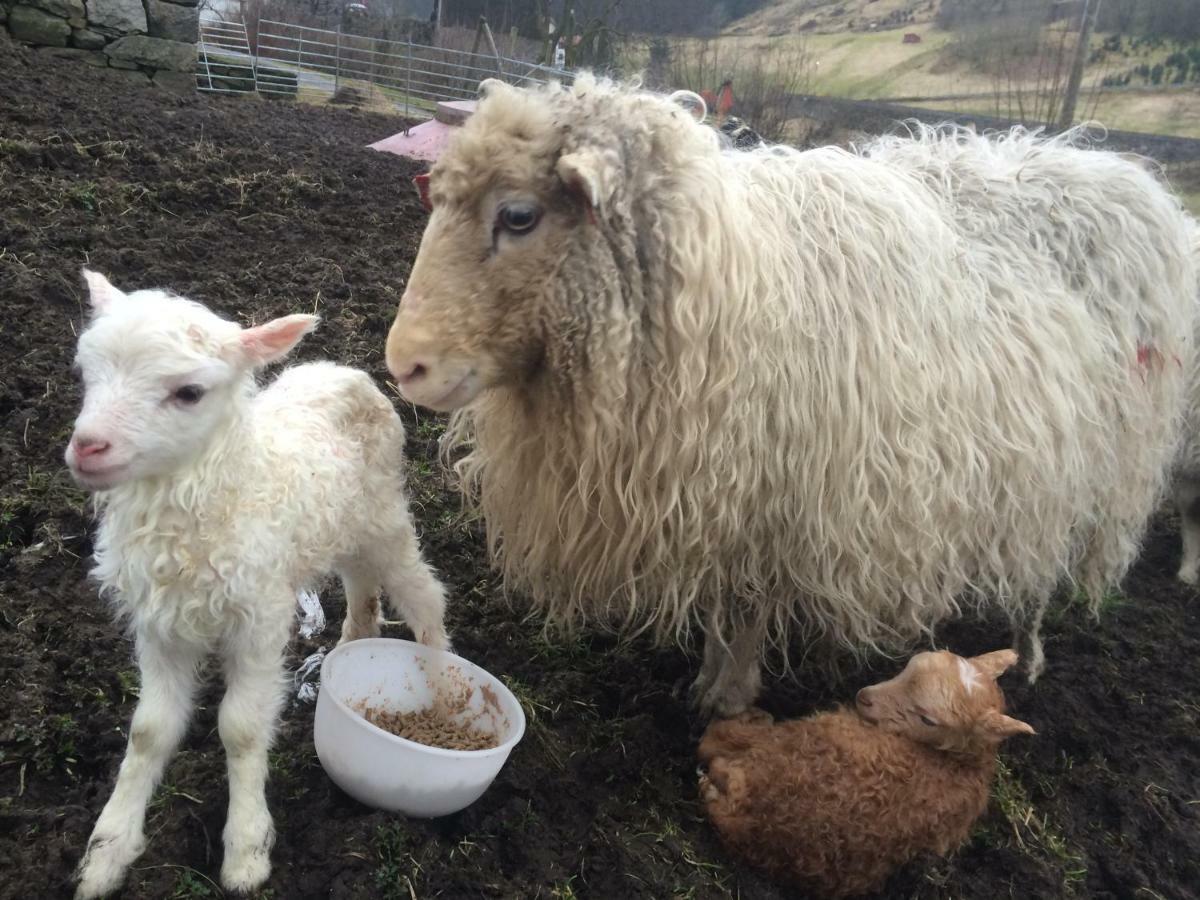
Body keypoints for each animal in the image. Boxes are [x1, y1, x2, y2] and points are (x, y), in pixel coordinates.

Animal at [68, 271, 451, 897]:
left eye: (189, 392)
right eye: (85, 373)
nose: (87, 447)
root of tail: (349, 372)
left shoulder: (259, 618)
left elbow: (242, 730)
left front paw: (247, 852)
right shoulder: (160, 625)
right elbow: (148, 731)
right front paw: (106, 853)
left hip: (384, 518)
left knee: (423, 592)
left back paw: (441, 675)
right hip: (338, 527)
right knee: (362, 589)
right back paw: (349, 646)